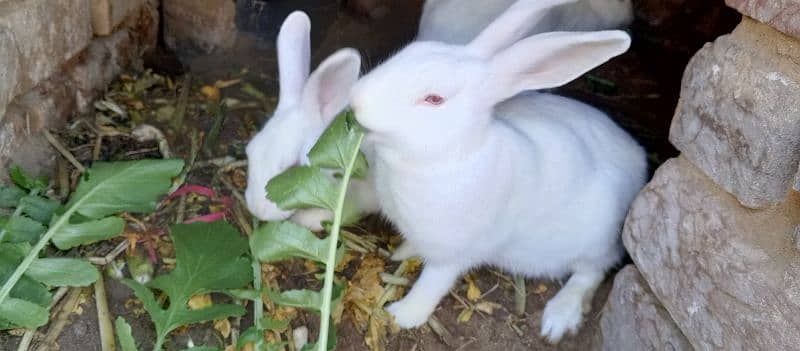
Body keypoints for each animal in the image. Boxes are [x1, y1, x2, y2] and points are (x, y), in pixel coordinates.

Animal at [350, 0, 648, 344]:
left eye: (434, 99)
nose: (356, 103)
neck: (447, 156)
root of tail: (640, 162)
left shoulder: (453, 254)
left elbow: (432, 284)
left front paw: (402, 315)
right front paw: (401, 253)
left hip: (595, 238)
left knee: (592, 270)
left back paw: (559, 317)